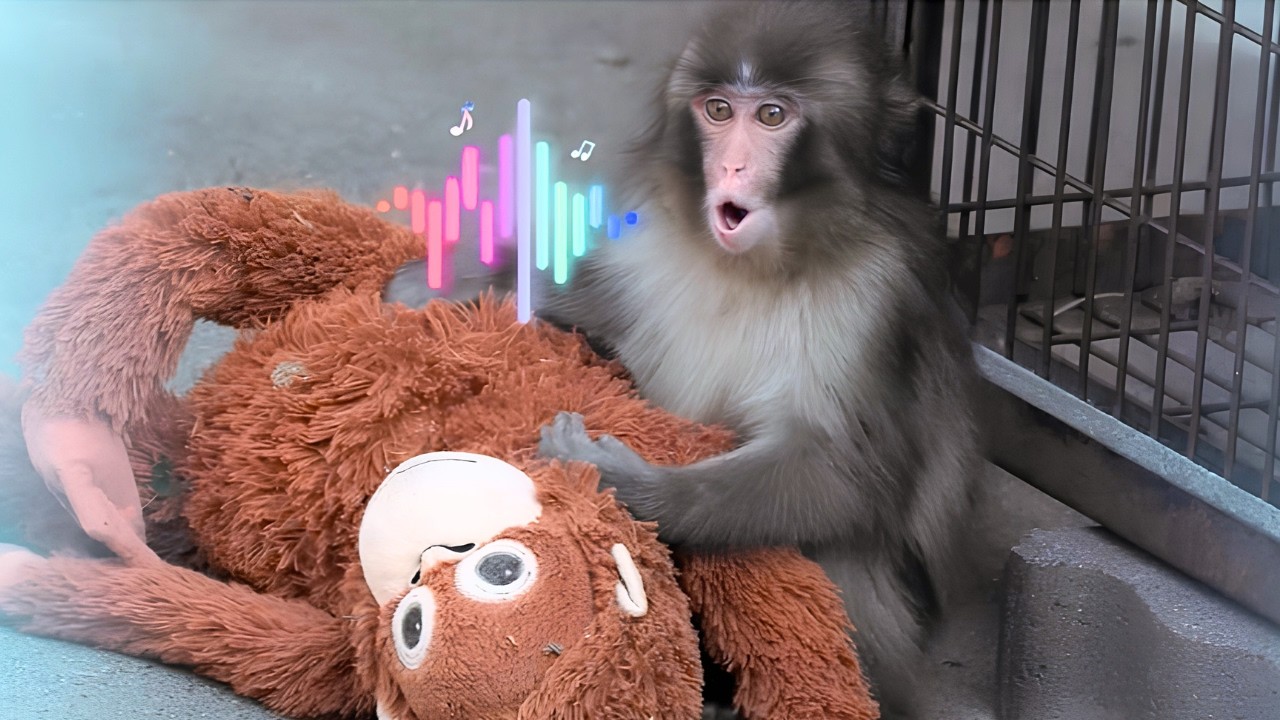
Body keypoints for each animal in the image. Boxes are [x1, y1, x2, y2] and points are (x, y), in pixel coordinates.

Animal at [534, 3, 982, 716]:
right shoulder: (646, 251)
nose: (734, 170)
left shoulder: (875, 299)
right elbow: (567, 313)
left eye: (772, 116)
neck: (753, 269)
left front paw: (621, 480)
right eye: (718, 110)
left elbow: (843, 478)